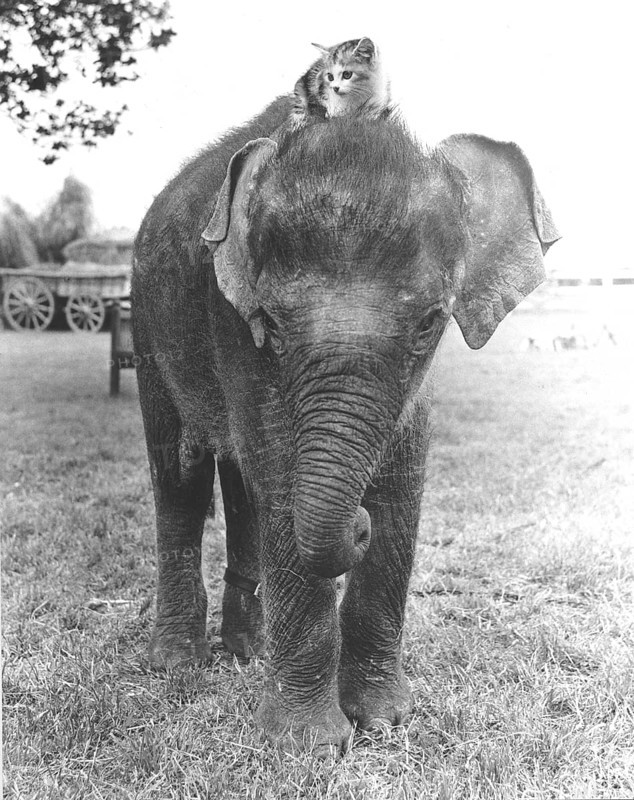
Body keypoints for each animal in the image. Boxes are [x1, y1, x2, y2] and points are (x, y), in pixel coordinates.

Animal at [132, 95, 559, 755]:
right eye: (272, 324)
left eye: (431, 322)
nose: (355, 524)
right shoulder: (231, 320)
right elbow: (285, 482)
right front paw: (308, 745)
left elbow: (401, 489)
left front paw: (383, 720)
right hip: (147, 329)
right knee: (182, 477)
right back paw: (179, 663)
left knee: (242, 487)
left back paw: (251, 651)